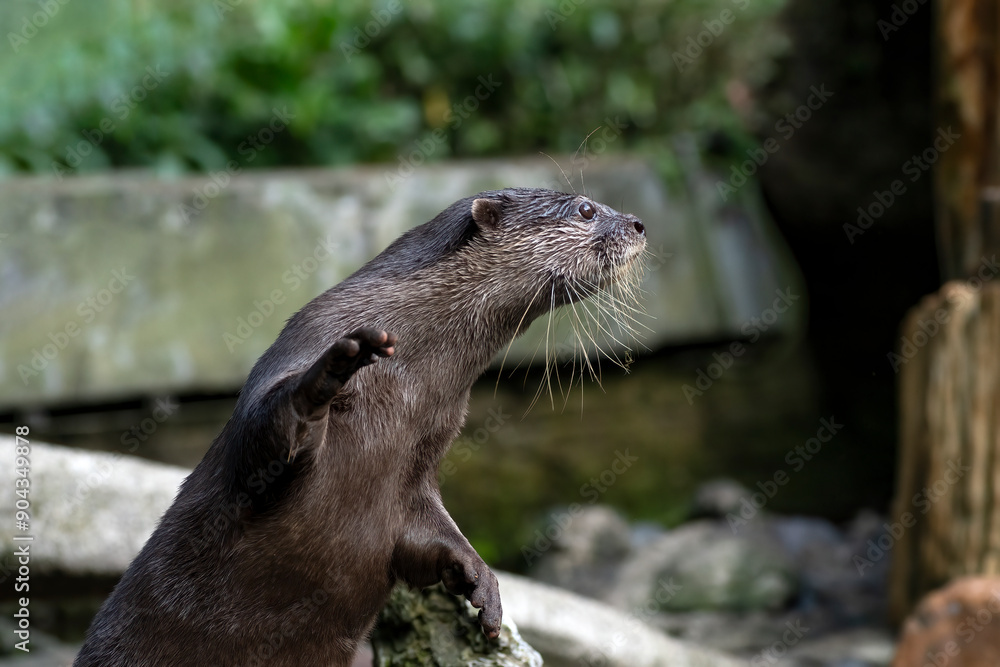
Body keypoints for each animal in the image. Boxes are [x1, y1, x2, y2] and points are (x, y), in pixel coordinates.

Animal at [74, 187, 646, 666]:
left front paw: (480, 582)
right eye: (586, 209)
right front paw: (329, 373)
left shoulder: (421, 466)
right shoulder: (305, 344)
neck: (407, 381)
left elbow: (425, 533)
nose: (640, 223)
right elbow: (263, 439)